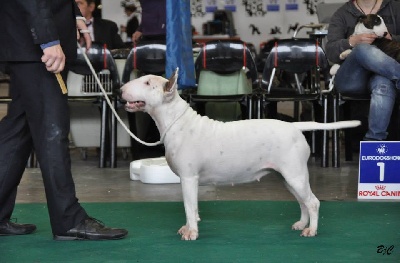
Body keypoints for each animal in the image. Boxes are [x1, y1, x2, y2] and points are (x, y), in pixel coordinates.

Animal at [120, 69, 360, 241]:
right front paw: (188, 228)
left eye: (147, 83)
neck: (176, 122)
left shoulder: (188, 178)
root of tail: (295, 126)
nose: (120, 90)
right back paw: (302, 224)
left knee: (313, 202)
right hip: (287, 177)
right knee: (302, 201)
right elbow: (192, 207)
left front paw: (191, 233)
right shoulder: (189, 180)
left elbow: (189, 206)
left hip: (295, 175)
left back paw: (311, 231)